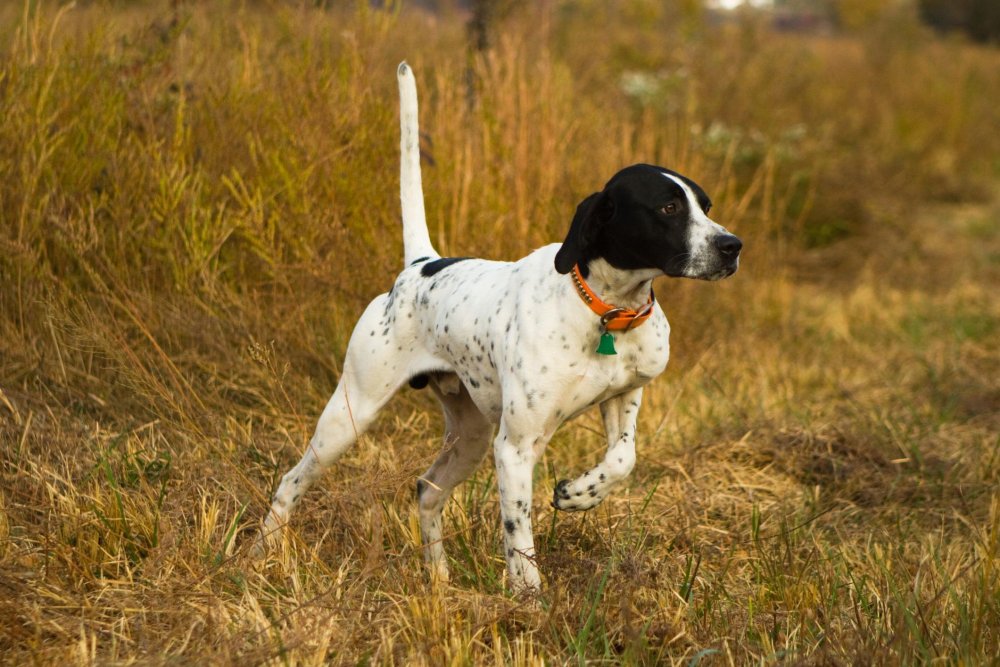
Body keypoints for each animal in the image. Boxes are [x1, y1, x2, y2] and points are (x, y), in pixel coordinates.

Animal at [258, 64, 744, 596]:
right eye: (669, 209)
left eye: (705, 205)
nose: (732, 246)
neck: (604, 311)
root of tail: (419, 265)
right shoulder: (514, 448)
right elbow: (518, 532)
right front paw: (529, 598)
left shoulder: (623, 397)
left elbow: (623, 459)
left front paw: (578, 494)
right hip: (350, 416)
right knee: (291, 482)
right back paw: (266, 554)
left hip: (469, 435)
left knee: (427, 490)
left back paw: (439, 578)